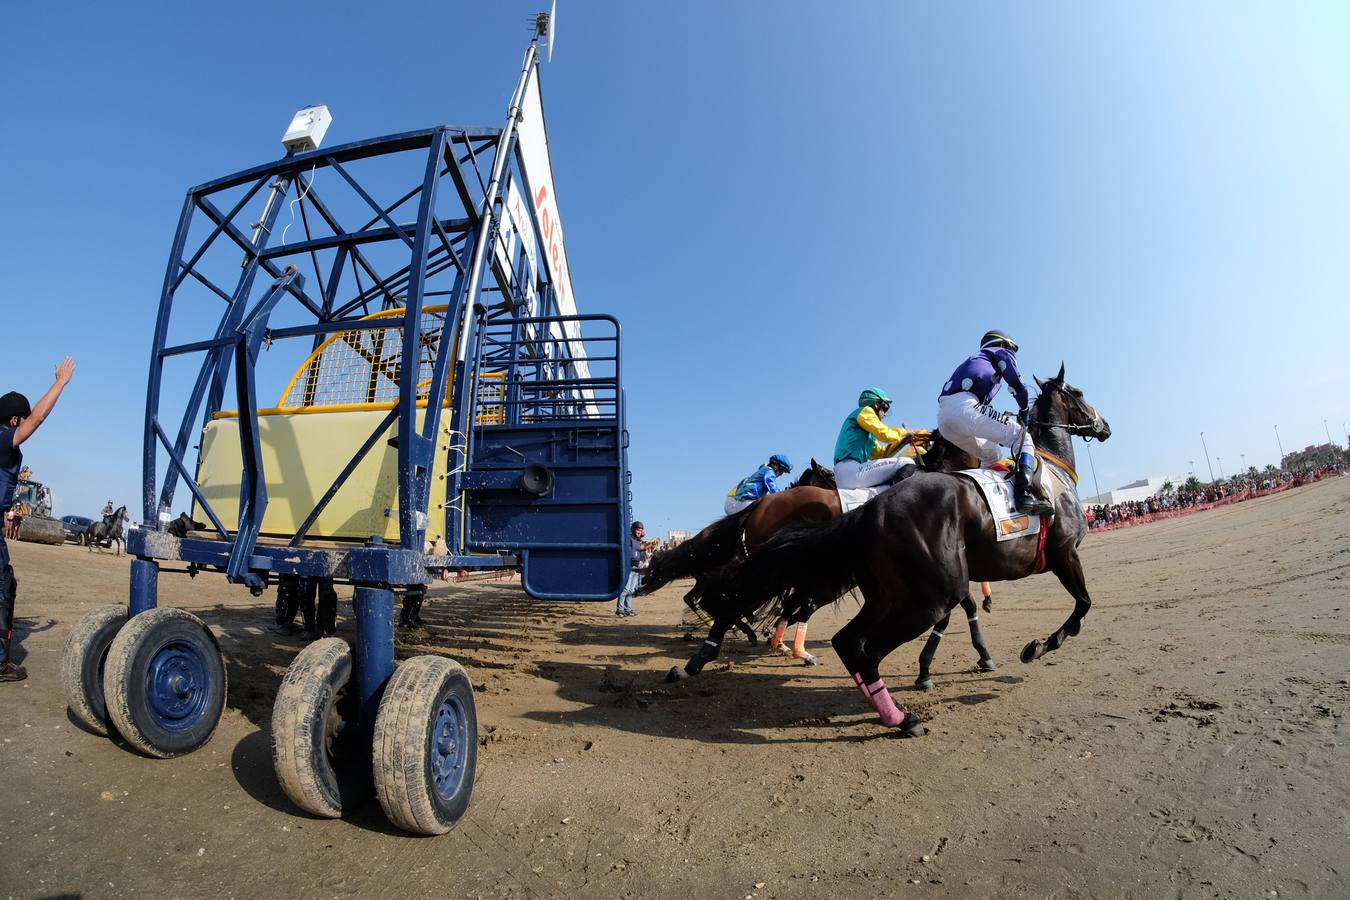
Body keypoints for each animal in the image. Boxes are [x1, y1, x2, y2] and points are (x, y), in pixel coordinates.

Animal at [707, 369, 1107, 734]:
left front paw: (949, 664)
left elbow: (969, 610)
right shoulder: (1064, 554)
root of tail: (870, 509)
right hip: (918, 593)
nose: (1104, 426)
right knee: (847, 637)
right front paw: (1031, 648)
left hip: (885, 591)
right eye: (1079, 392)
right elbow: (1083, 606)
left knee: (838, 635)